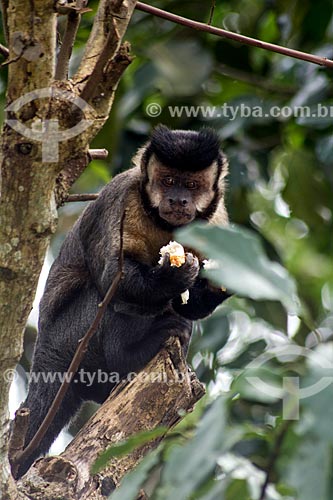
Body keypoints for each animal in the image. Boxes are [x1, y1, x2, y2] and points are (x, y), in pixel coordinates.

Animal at [14, 124, 230, 476]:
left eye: (191, 185)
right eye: (168, 180)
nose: (178, 199)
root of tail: (45, 351)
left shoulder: (216, 221)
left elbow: (190, 306)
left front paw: (218, 284)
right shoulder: (122, 198)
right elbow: (112, 279)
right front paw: (171, 277)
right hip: (70, 338)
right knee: (107, 301)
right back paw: (131, 355)